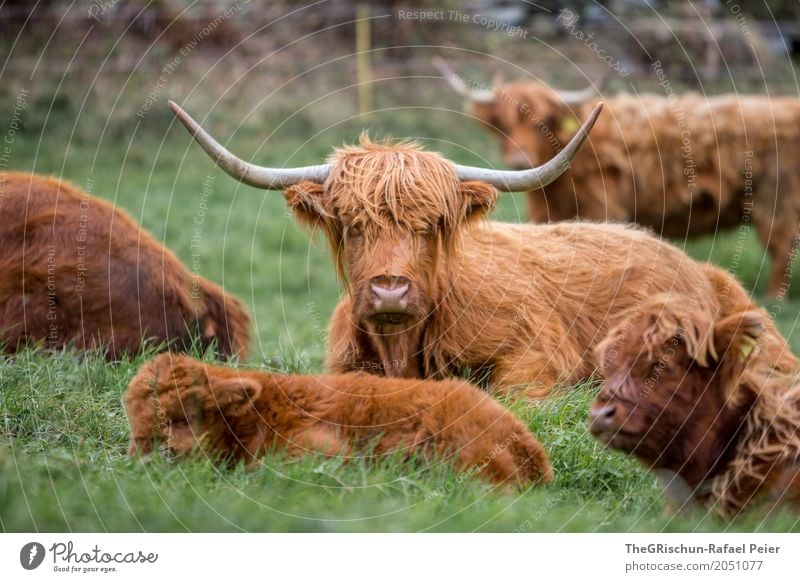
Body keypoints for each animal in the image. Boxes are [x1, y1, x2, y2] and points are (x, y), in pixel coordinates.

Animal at [434, 58, 800, 296]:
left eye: (545, 121)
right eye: (504, 123)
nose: (518, 160)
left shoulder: (602, 207)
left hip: (777, 200)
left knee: (782, 248)